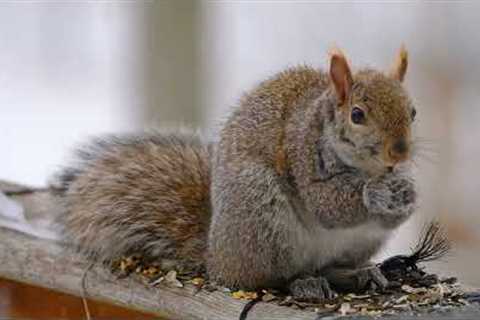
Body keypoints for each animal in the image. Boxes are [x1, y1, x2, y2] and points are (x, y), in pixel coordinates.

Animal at [54, 47, 418, 300]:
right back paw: (304, 283)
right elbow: (325, 204)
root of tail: (215, 257)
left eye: (413, 111)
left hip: (359, 242)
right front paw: (376, 193)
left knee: (329, 267)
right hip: (261, 218)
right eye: (357, 115)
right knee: (271, 278)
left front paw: (408, 195)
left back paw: (356, 275)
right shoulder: (300, 151)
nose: (400, 153)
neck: (367, 168)